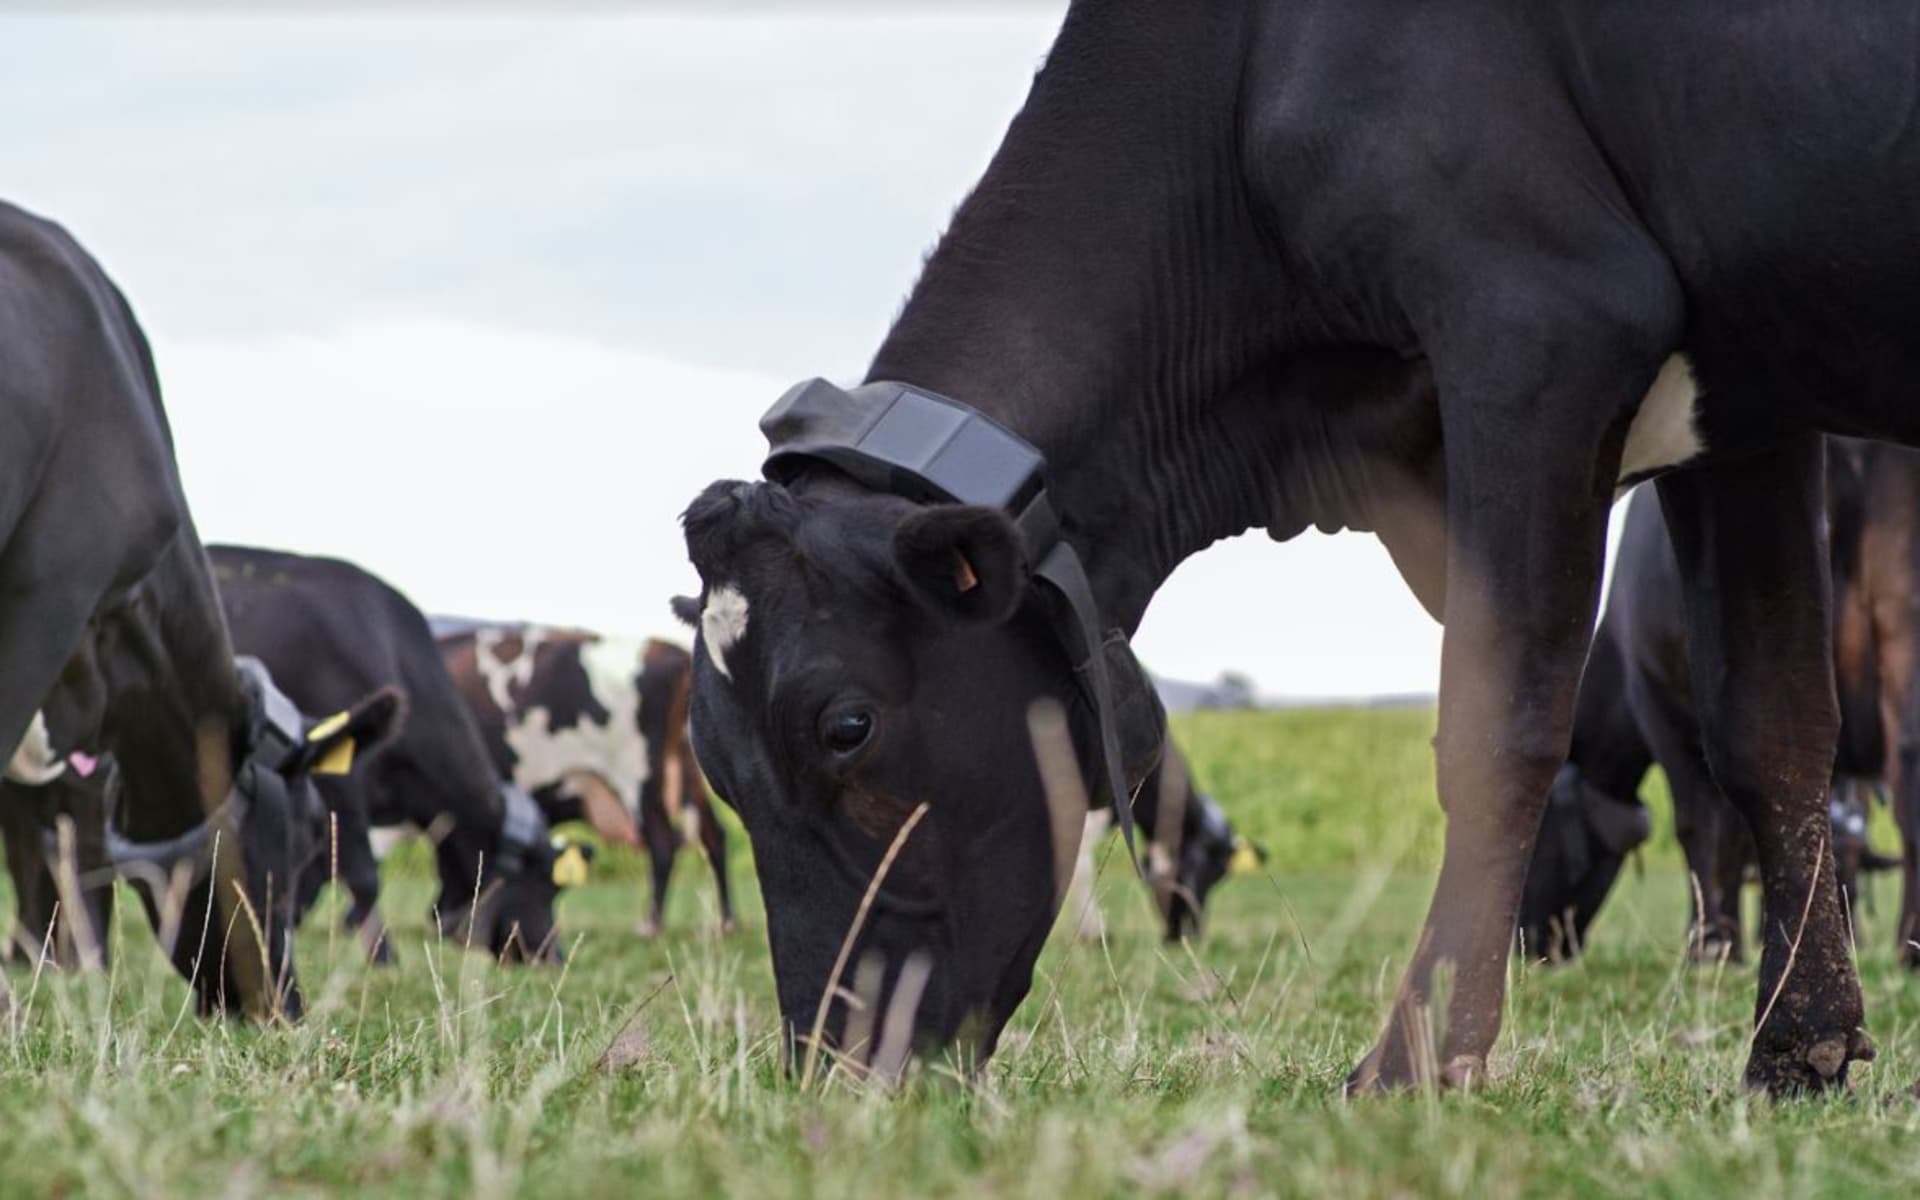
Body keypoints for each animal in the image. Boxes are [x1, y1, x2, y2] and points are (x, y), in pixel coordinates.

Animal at [440, 624, 735, 936]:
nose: (443, 919)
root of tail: (675, 653)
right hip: (689, 768)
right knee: (713, 834)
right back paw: (726, 922)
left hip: (639, 775)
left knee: (663, 842)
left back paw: (650, 925)